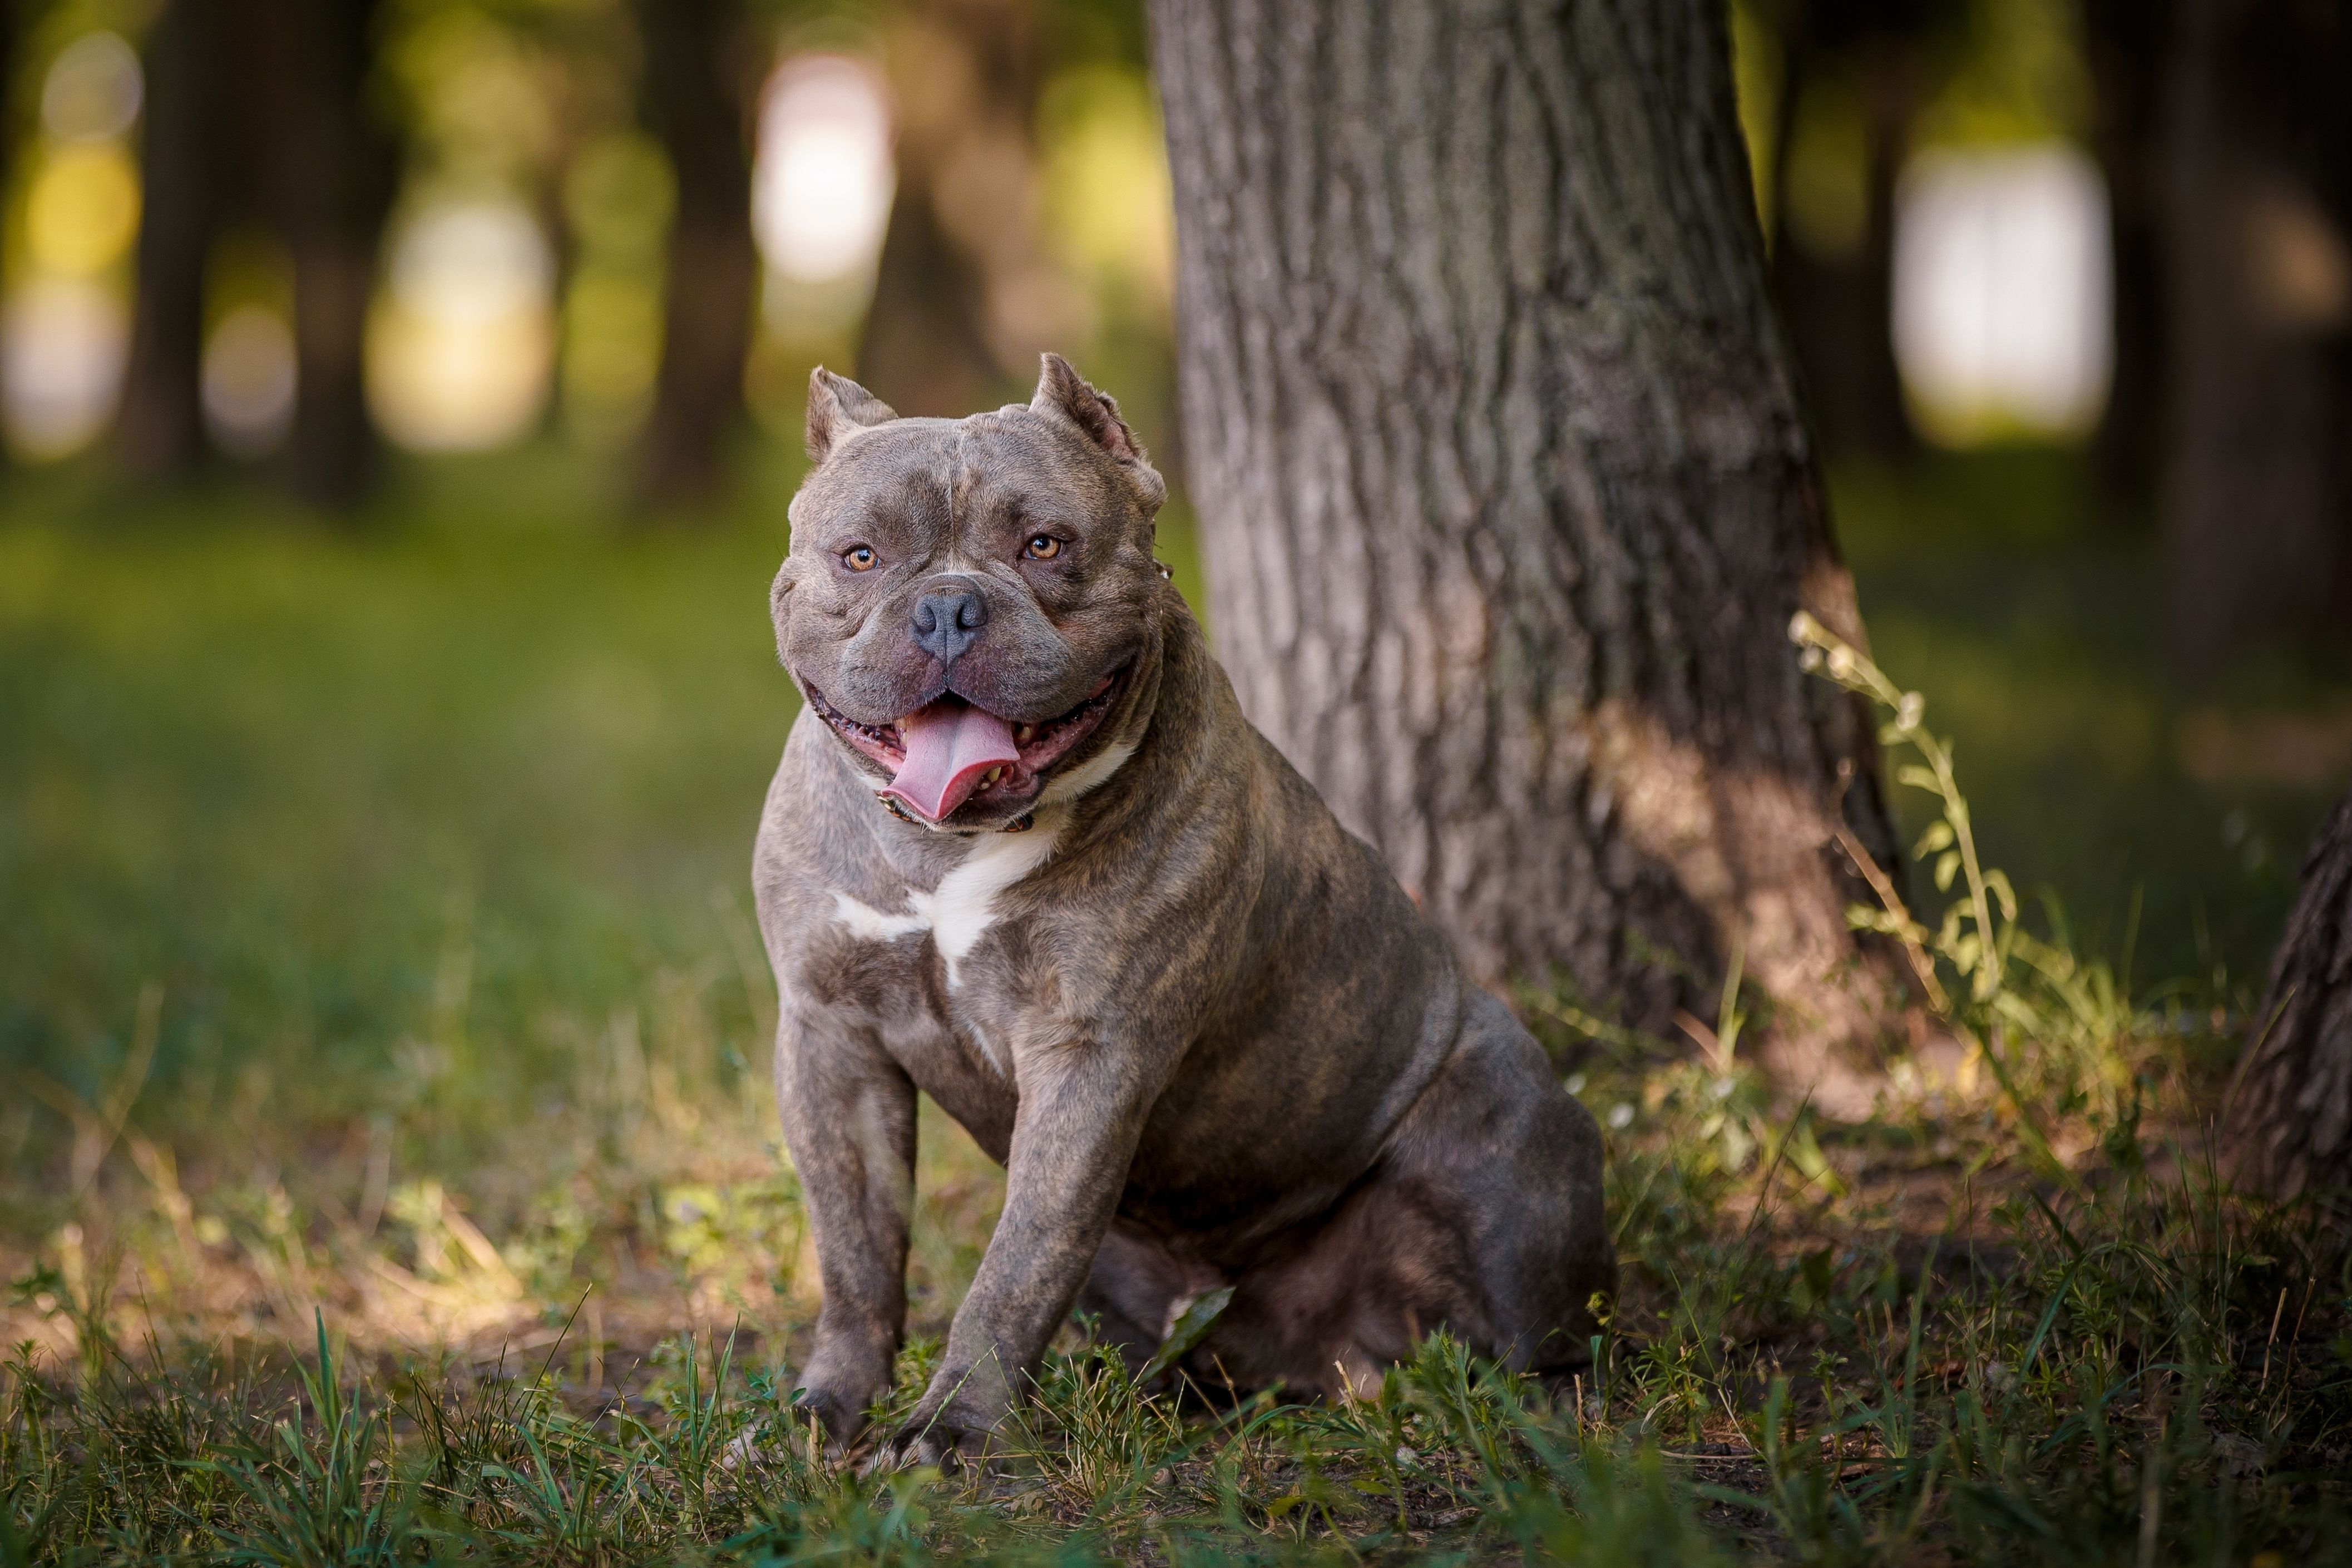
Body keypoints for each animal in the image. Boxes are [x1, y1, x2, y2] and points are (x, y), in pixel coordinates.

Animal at [752, 355, 1618, 1476]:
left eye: (1045, 545)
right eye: (860, 556)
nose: (946, 607)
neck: (946, 850)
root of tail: (1315, 1355)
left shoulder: (1091, 1056)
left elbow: (1015, 1265)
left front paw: (947, 1436)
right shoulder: (830, 1039)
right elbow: (857, 1256)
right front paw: (824, 1410)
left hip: (1510, 1135)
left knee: (1544, 1331)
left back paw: (1552, 1417)